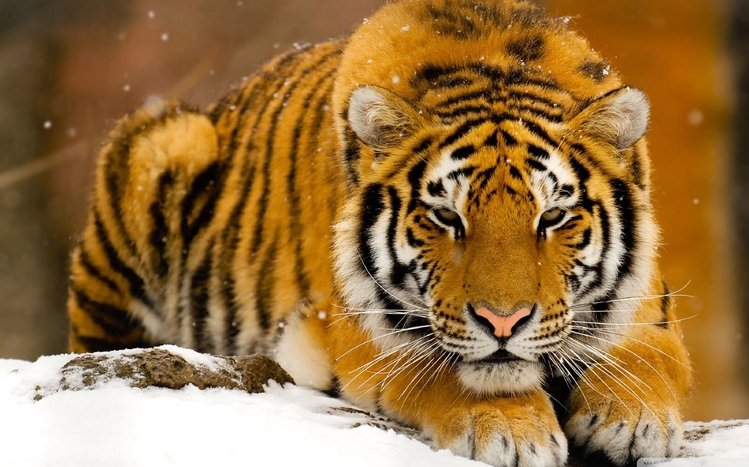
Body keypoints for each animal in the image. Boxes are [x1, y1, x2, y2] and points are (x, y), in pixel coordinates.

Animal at [66, 0, 693, 465]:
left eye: (552, 217)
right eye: (447, 217)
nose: (503, 322)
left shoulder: (648, 308)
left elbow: (649, 357)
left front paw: (631, 420)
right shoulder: (355, 328)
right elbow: (444, 368)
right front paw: (512, 431)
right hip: (164, 145)